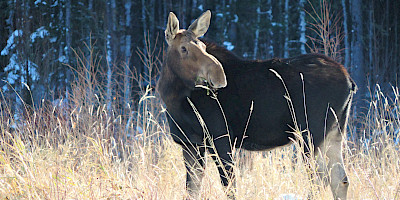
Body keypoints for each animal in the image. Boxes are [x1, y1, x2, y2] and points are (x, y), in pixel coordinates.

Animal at [156, 11, 356, 200]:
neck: (174, 99)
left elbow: (230, 186)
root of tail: (350, 82)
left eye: (203, 47)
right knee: (341, 179)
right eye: (183, 48)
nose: (219, 75)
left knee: (321, 178)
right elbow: (192, 190)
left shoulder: (221, 137)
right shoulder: (190, 144)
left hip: (310, 134)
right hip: (334, 134)